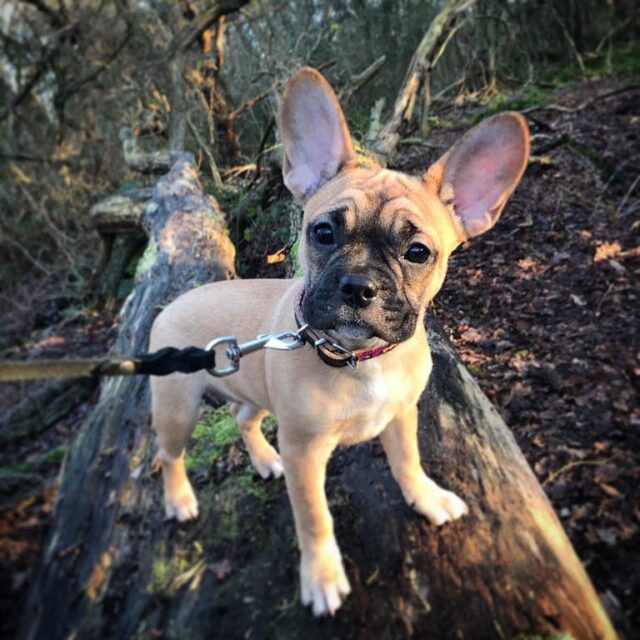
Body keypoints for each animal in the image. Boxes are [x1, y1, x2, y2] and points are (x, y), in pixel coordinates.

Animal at [151, 66, 528, 616]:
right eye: (323, 232)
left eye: (418, 252)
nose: (357, 285)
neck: (358, 358)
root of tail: (175, 302)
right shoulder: (305, 452)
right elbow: (314, 518)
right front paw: (323, 575)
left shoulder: (400, 416)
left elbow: (409, 463)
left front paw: (427, 497)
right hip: (178, 407)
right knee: (170, 455)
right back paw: (179, 498)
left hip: (250, 388)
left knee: (244, 418)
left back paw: (264, 459)